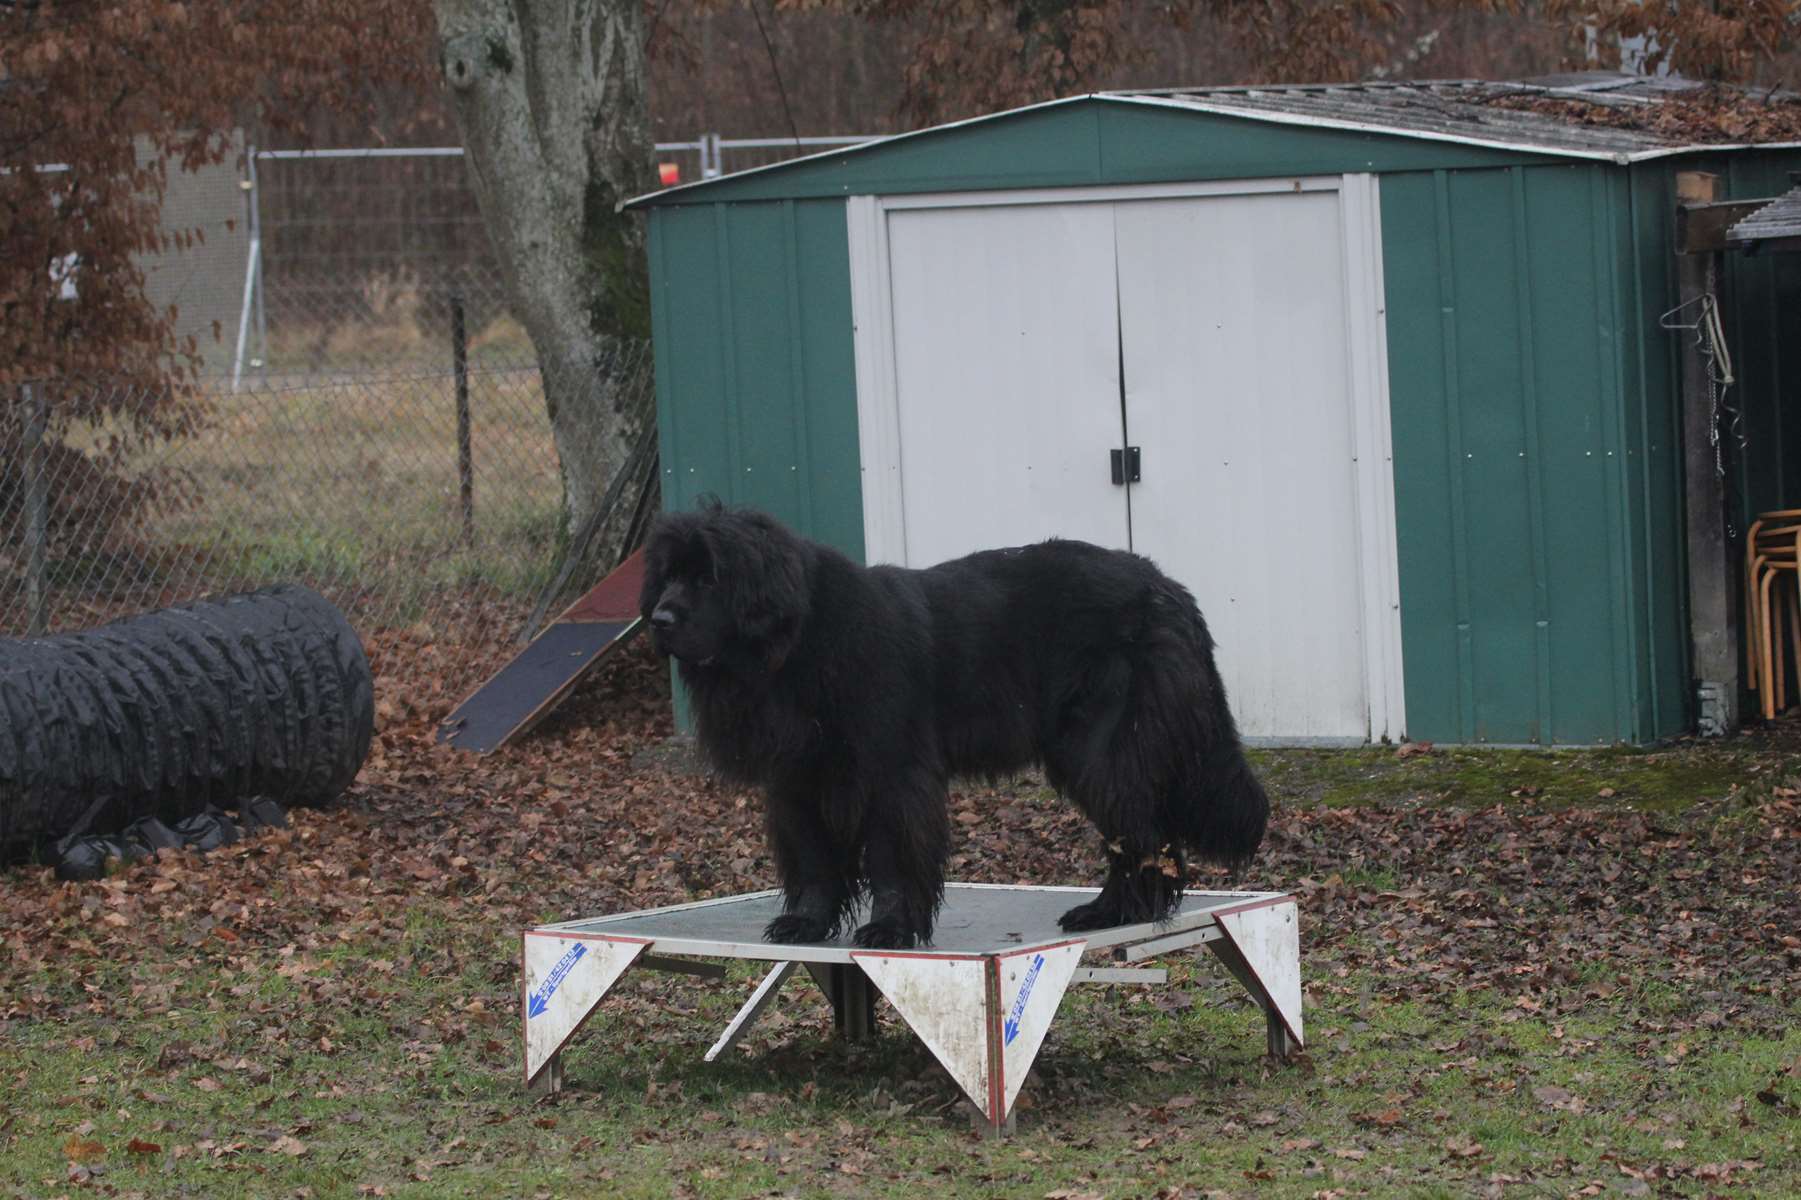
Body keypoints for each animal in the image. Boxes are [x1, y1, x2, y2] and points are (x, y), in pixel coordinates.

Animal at [641, 500, 1275, 951]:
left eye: (709, 578)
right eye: (667, 576)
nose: (659, 619)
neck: (800, 644)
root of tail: (1169, 589)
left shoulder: (893, 770)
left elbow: (892, 857)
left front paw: (890, 929)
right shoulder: (795, 779)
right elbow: (814, 859)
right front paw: (806, 923)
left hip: (1101, 747)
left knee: (1139, 830)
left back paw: (1112, 911)